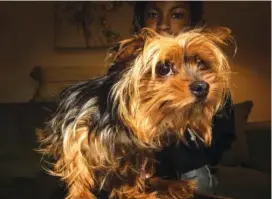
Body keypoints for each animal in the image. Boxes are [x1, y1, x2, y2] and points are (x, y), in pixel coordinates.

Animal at [37, 26, 234, 199]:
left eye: (201, 63)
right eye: (164, 68)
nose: (202, 87)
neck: (118, 125)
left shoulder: (136, 153)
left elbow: (131, 174)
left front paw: (133, 192)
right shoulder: (74, 131)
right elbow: (77, 165)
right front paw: (80, 194)